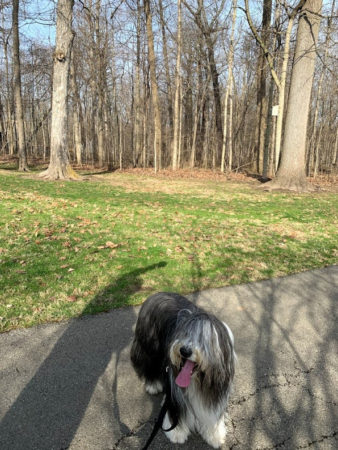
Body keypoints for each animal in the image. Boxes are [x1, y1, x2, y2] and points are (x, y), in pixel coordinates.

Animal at [131, 292, 236, 446]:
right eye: (184, 334)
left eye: (202, 339)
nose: (184, 351)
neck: (198, 380)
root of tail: (156, 294)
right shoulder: (174, 386)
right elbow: (176, 407)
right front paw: (176, 432)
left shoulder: (216, 391)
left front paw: (214, 435)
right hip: (149, 347)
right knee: (149, 365)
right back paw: (153, 385)